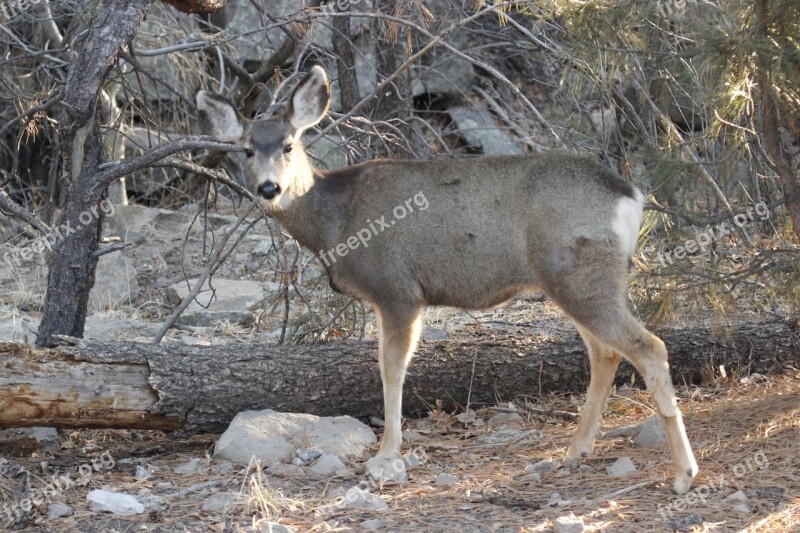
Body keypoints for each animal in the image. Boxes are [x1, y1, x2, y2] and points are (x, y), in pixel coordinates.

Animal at [200, 66, 700, 494]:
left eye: (288, 145)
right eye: (247, 149)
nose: (269, 188)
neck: (337, 220)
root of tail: (630, 196)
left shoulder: (397, 290)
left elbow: (391, 369)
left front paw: (386, 454)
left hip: (582, 275)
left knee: (648, 346)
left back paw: (683, 475)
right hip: (575, 280)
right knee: (605, 353)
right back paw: (576, 452)